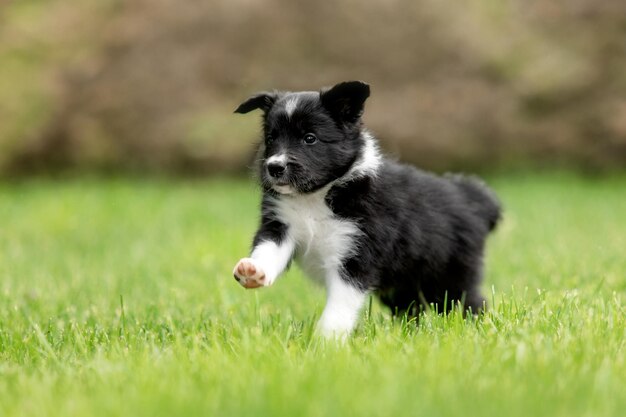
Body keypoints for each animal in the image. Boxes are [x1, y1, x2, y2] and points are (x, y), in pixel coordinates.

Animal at [232, 81, 500, 338]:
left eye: (310, 138)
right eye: (270, 138)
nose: (274, 167)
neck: (315, 197)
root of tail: (472, 197)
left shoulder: (358, 253)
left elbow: (340, 305)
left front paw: (326, 340)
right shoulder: (280, 225)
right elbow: (269, 249)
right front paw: (253, 270)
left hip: (449, 278)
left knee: (469, 303)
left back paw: (477, 329)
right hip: (405, 286)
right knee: (412, 309)